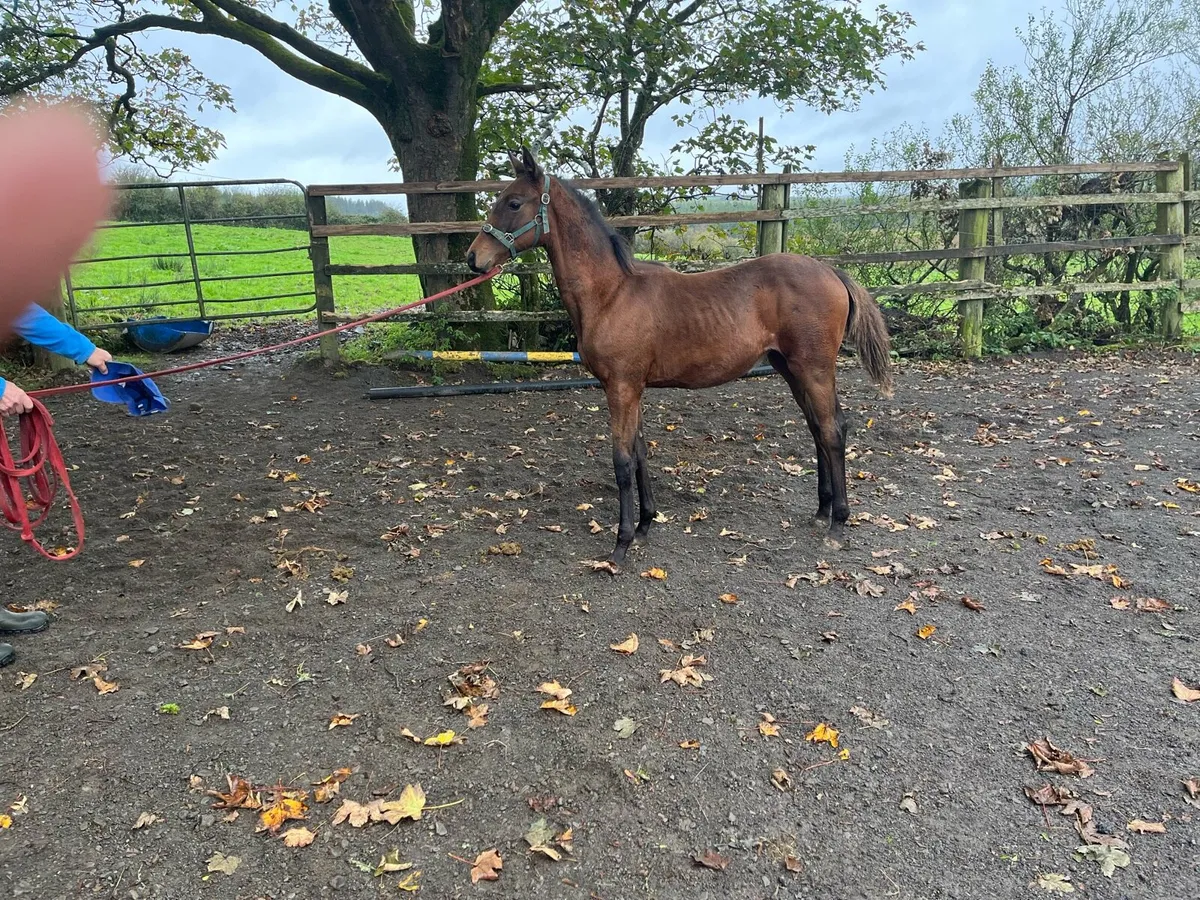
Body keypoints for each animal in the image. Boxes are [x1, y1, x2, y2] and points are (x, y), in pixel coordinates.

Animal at [467, 148, 894, 566]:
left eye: (513, 202)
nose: (473, 258)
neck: (611, 294)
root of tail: (832, 272)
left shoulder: (621, 387)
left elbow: (622, 460)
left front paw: (621, 546)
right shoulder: (633, 388)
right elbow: (639, 452)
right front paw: (644, 525)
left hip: (814, 368)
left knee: (833, 430)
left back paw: (837, 525)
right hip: (789, 368)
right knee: (818, 428)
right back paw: (822, 512)